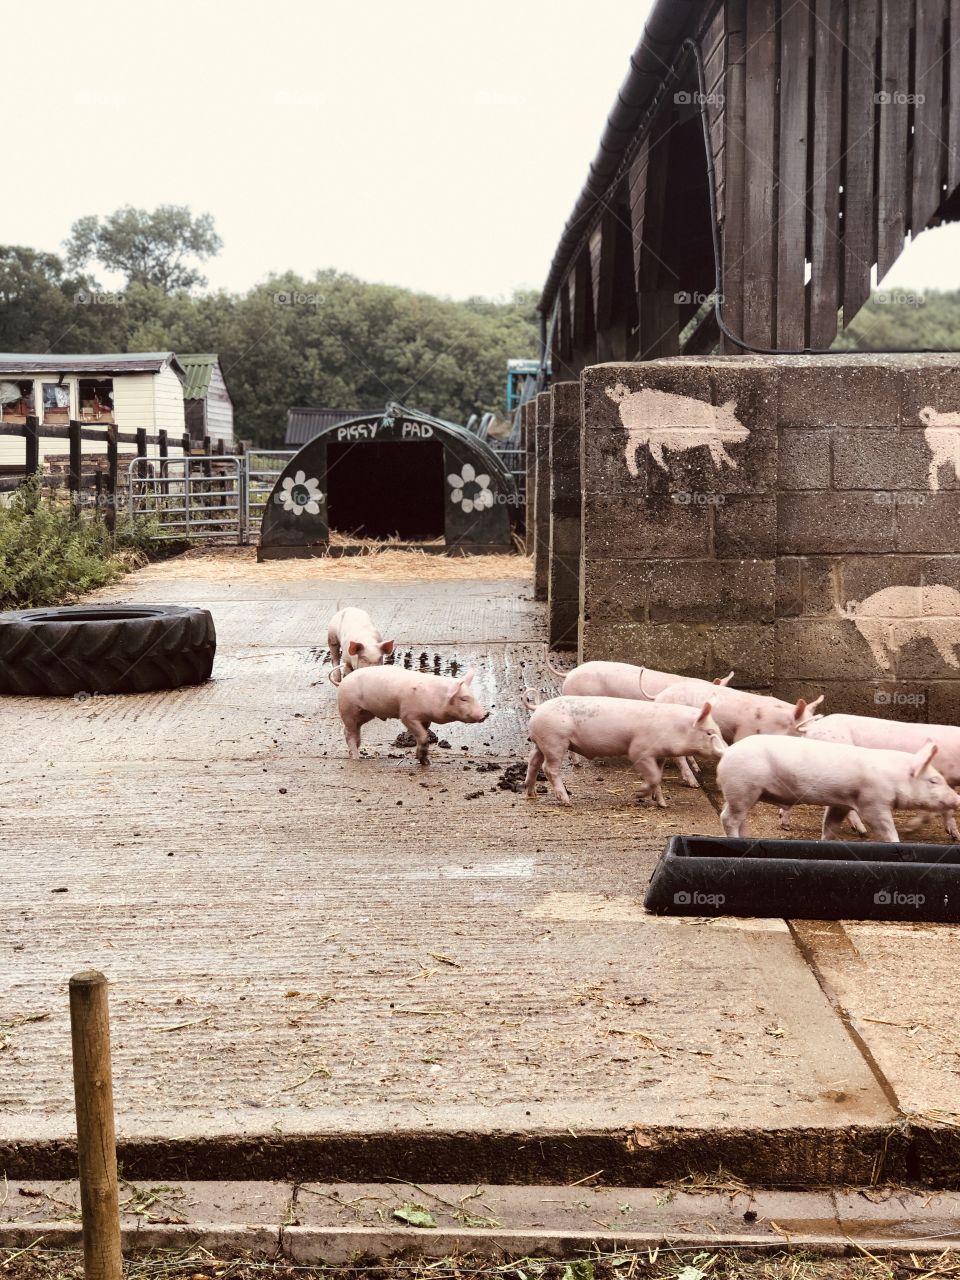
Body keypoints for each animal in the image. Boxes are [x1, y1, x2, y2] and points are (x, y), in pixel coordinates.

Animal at [336, 665, 489, 764]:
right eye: (463, 698)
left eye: (472, 695)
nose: (486, 714)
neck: (435, 697)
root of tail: (343, 681)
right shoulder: (407, 715)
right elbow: (423, 736)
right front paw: (425, 761)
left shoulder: (425, 718)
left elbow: (424, 735)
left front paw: (425, 761)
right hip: (348, 709)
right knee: (349, 733)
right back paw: (357, 758)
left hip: (366, 713)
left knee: (352, 732)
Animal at [524, 695, 727, 807]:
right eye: (709, 732)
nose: (726, 752)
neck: (674, 729)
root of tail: (538, 708)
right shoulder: (639, 751)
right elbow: (653, 777)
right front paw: (638, 794)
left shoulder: (659, 755)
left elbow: (658, 777)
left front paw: (662, 803)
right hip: (555, 741)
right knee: (549, 769)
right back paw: (566, 801)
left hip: (541, 743)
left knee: (533, 762)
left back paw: (532, 793)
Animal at [717, 735, 960, 842]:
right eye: (933, 781)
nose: (957, 799)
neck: (894, 777)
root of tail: (726, 752)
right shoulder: (873, 803)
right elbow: (887, 830)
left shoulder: (841, 804)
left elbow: (830, 825)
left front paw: (825, 841)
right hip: (743, 787)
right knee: (728, 818)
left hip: (743, 792)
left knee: (739, 818)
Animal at [782, 713, 960, 840]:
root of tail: (812, 727)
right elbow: (933, 811)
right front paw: (909, 829)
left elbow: (947, 809)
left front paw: (955, 835)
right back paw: (863, 832)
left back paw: (785, 825)